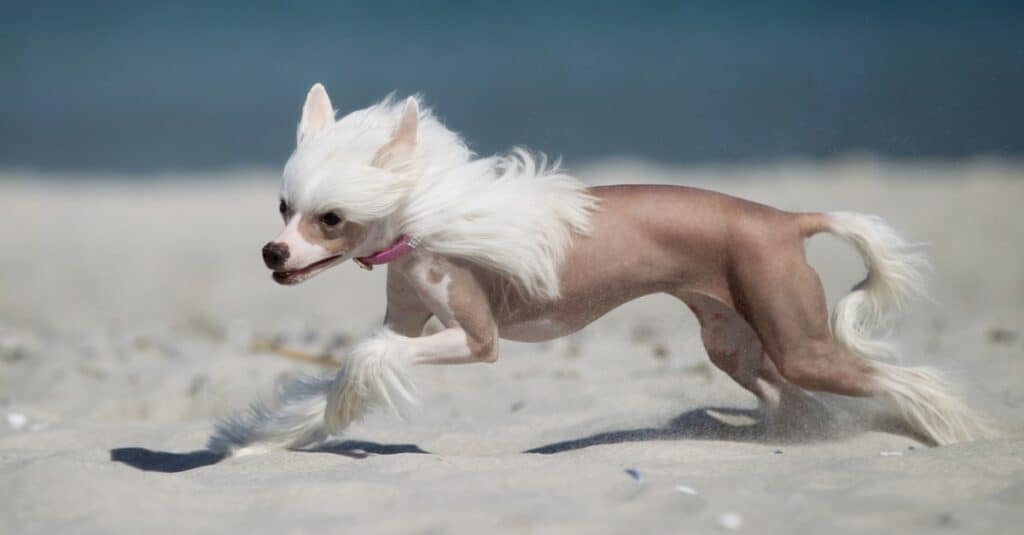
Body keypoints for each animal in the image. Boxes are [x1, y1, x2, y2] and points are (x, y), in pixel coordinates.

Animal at [205, 84, 991, 453]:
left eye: (329, 218)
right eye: (285, 207)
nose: (274, 253)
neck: (424, 220)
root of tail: (783, 218)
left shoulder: (477, 340)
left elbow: (367, 357)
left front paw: (344, 397)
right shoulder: (409, 321)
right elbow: (343, 373)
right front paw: (263, 438)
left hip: (800, 342)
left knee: (896, 377)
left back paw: (953, 429)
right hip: (736, 344)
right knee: (788, 399)